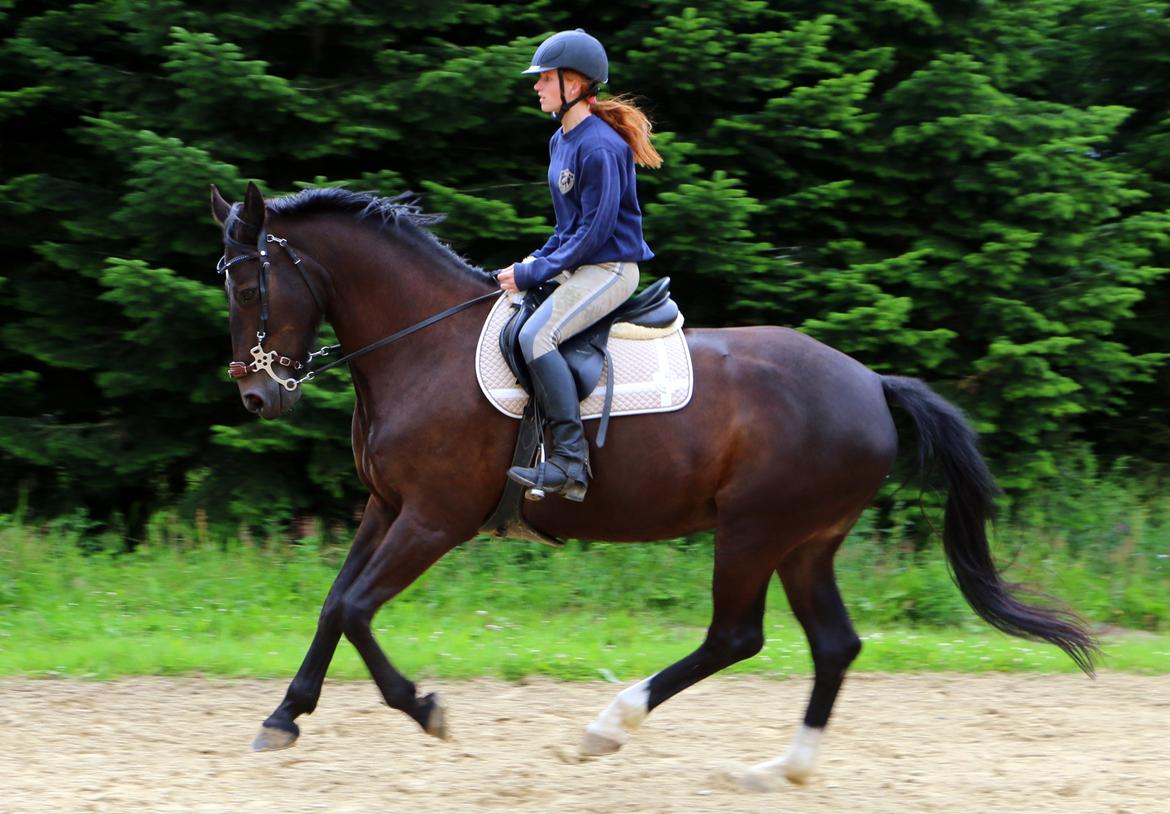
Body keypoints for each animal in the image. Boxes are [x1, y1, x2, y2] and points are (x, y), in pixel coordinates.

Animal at [205, 180, 1090, 790]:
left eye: (248, 288)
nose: (257, 398)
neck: (420, 346)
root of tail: (871, 383)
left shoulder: (434, 517)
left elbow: (358, 608)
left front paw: (425, 709)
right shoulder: (386, 506)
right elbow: (333, 605)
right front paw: (283, 717)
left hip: (754, 531)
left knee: (736, 637)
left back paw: (609, 726)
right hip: (807, 542)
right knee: (833, 645)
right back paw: (780, 770)